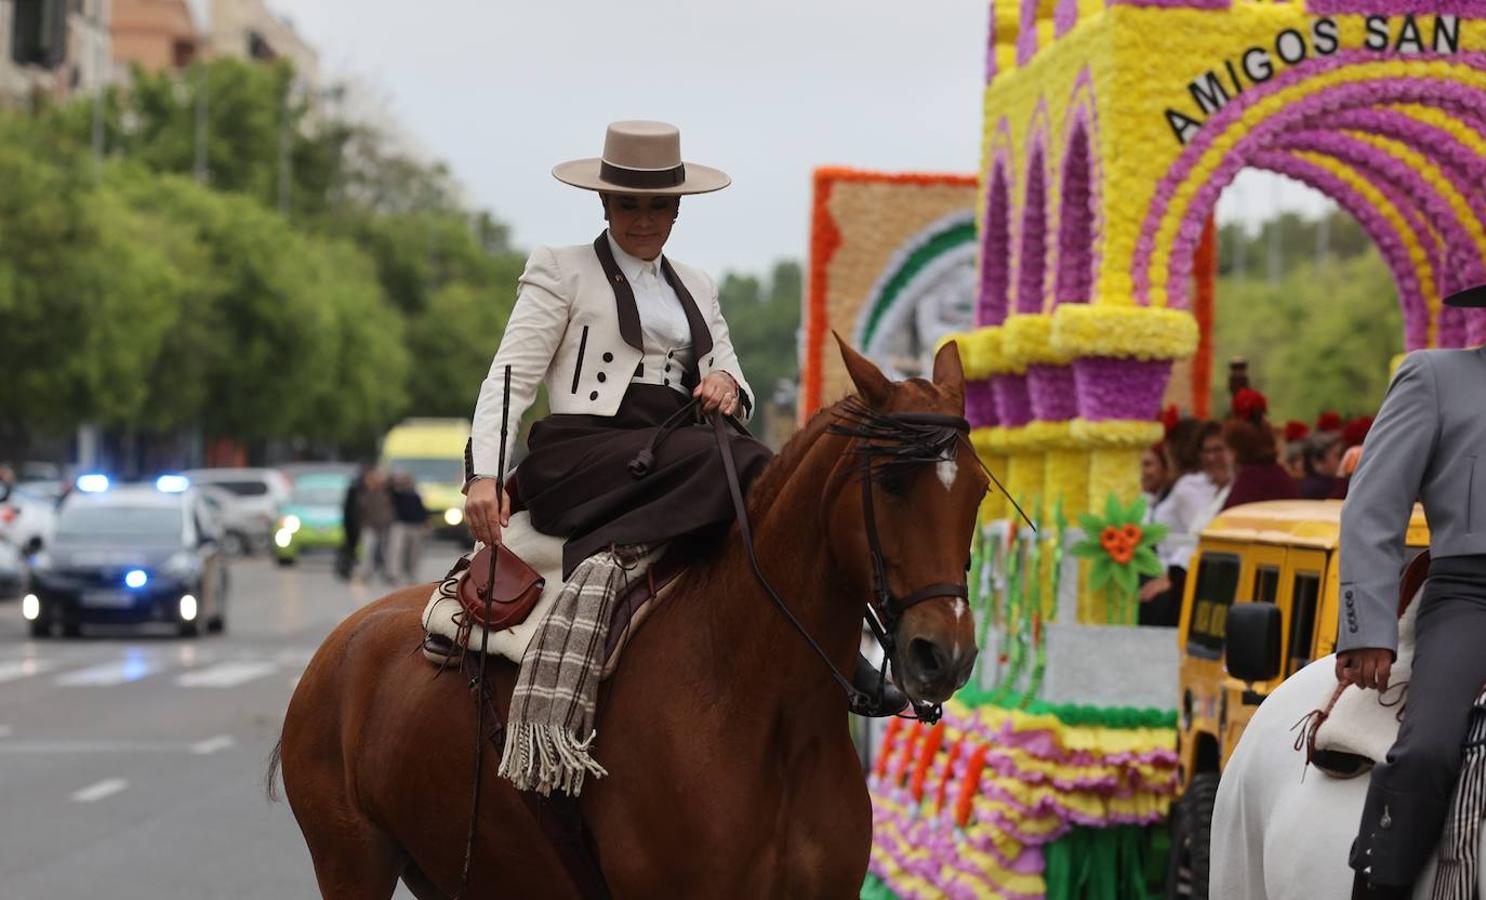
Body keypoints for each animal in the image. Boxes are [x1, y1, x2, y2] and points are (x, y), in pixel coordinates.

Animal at [273, 340, 992, 900]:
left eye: (979, 491)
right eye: (892, 483)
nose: (943, 653)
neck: (767, 708)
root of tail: (340, 641)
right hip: (352, 863)